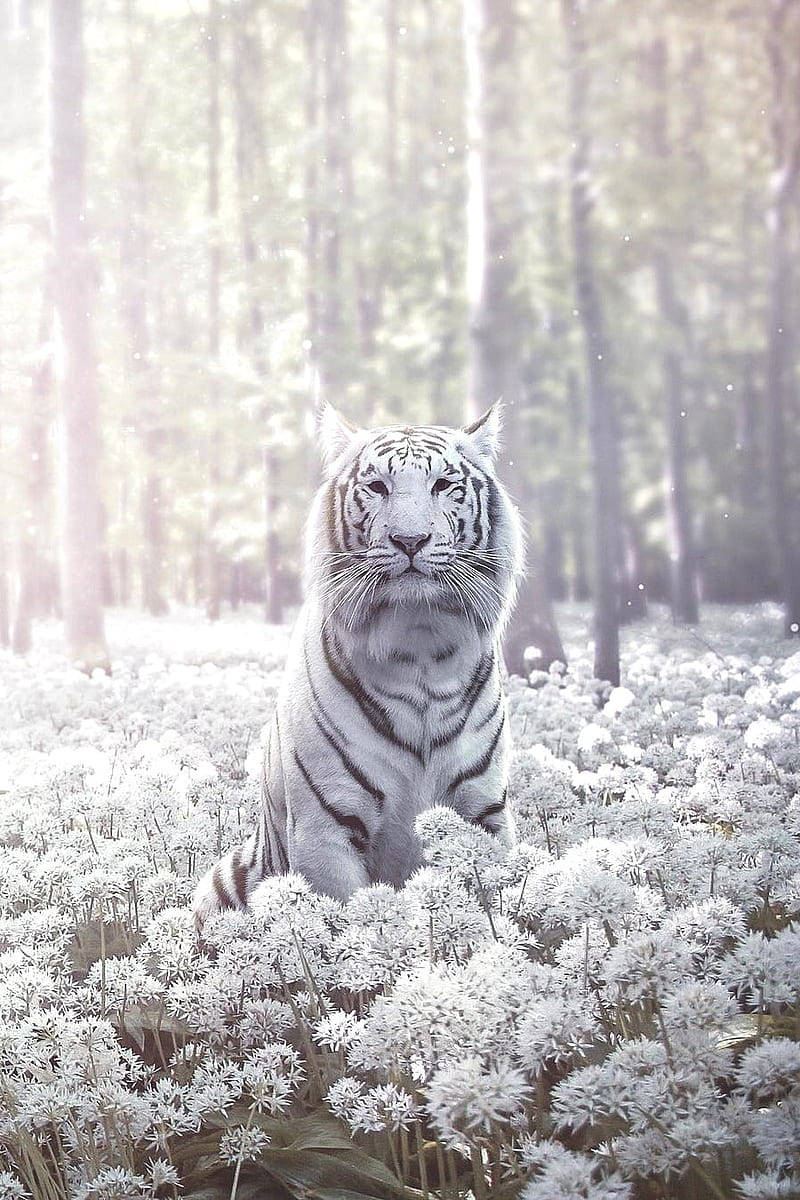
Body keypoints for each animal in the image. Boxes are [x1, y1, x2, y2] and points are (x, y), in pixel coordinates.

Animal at [193, 401, 524, 926]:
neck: (420, 649)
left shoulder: (485, 812)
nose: (411, 540)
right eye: (377, 487)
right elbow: (352, 926)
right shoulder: (326, 829)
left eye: (443, 485)